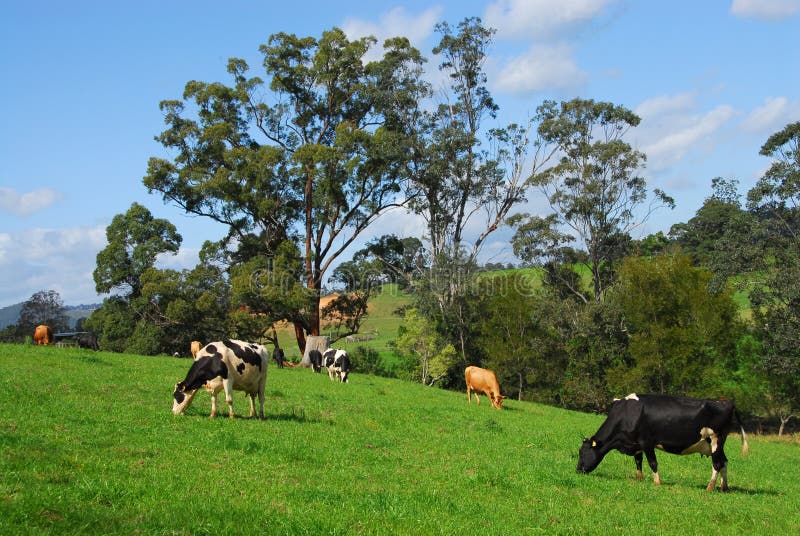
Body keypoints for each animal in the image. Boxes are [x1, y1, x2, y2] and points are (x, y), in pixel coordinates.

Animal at [576, 392, 752, 492]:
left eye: (583, 453)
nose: (578, 470)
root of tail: (726, 401)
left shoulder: (647, 442)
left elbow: (652, 462)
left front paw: (657, 482)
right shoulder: (636, 443)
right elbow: (638, 461)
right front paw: (639, 478)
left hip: (716, 439)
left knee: (717, 464)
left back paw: (710, 487)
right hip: (716, 444)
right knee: (724, 462)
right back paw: (724, 487)